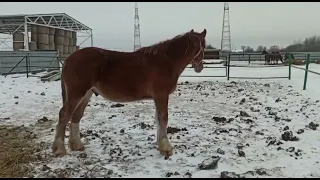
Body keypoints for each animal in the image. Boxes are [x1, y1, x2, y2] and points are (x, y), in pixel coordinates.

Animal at [52, 28, 208, 158]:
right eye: (203, 46)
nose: (200, 67)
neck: (167, 60)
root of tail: (69, 59)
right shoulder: (161, 95)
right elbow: (163, 119)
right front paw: (166, 148)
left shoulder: (157, 97)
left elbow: (158, 119)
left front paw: (159, 145)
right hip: (77, 93)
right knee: (64, 115)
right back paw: (59, 149)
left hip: (86, 95)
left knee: (76, 116)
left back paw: (77, 145)